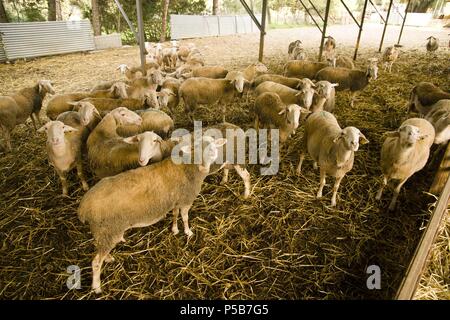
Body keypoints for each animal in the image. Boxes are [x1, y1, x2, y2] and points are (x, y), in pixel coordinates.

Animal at [79, 135, 227, 292]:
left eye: (213, 148)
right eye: (196, 148)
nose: (204, 167)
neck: (188, 166)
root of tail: (83, 208)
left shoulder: (176, 200)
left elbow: (175, 214)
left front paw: (175, 229)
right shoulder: (186, 199)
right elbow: (185, 217)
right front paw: (188, 232)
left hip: (103, 233)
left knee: (100, 251)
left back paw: (108, 258)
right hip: (108, 230)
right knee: (96, 262)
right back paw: (97, 287)